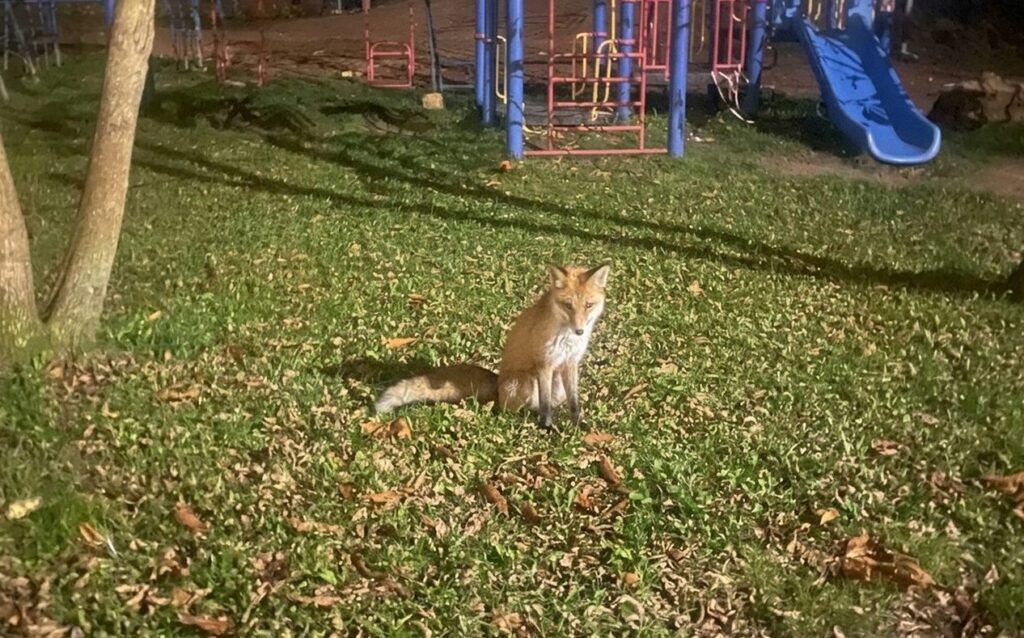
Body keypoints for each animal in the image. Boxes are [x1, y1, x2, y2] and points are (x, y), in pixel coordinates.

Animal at [374, 263, 611, 429]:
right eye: (568, 305)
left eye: (589, 305)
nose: (579, 331)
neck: (566, 337)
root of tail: (497, 383)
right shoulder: (545, 363)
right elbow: (544, 405)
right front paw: (547, 427)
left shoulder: (570, 363)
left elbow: (574, 402)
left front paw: (578, 423)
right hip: (526, 380)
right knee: (511, 408)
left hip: (557, 385)